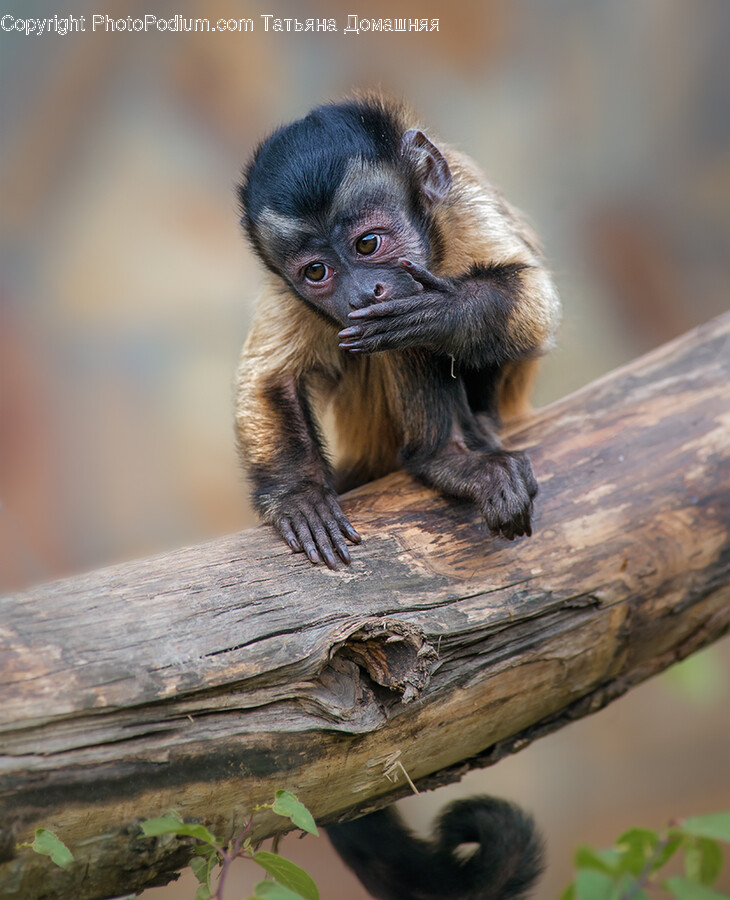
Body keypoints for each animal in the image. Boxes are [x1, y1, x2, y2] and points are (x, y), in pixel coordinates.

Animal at [234, 94, 560, 570]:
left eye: (367, 244)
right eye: (316, 271)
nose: (361, 293)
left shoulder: (464, 207)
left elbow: (535, 303)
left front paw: (440, 313)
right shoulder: (286, 290)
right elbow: (269, 379)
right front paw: (300, 495)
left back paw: (444, 458)